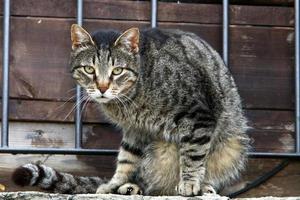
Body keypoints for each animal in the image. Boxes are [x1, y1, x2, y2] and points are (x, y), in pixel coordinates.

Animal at [12, 24, 250, 196]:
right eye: (89, 69)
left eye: (117, 71)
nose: (102, 87)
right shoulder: (135, 130)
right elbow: (126, 160)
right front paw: (113, 184)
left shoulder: (198, 116)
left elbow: (192, 154)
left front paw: (190, 183)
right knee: (144, 180)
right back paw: (128, 188)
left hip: (233, 147)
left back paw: (205, 187)